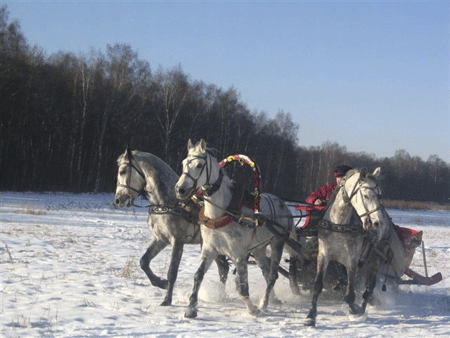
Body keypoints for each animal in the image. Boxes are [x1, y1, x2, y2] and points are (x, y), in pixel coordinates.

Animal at [114, 148, 230, 306]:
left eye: (123, 171)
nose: (118, 199)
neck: (170, 203)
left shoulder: (177, 242)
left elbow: (172, 271)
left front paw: (167, 299)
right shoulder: (160, 239)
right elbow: (144, 262)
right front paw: (161, 283)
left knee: (224, 268)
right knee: (223, 268)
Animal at [174, 139, 294, 318]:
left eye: (199, 165)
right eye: (183, 163)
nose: (180, 190)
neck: (223, 213)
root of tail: (284, 206)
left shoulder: (239, 255)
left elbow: (242, 286)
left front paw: (252, 309)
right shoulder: (209, 250)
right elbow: (198, 276)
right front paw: (191, 308)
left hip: (277, 242)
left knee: (273, 275)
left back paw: (263, 303)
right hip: (259, 250)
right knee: (266, 272)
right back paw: (272, 299)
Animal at [304, 168, 392, 326]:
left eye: (379, 195)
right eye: (365, 195)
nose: (377, 223)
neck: (339, 224)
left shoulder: (352, 261)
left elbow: (350, 294)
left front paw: (354, 310)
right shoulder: (324, 255)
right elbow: (318, 285)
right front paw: (310, 316)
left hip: (375, 260)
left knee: (369, 287)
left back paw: (362, 309)